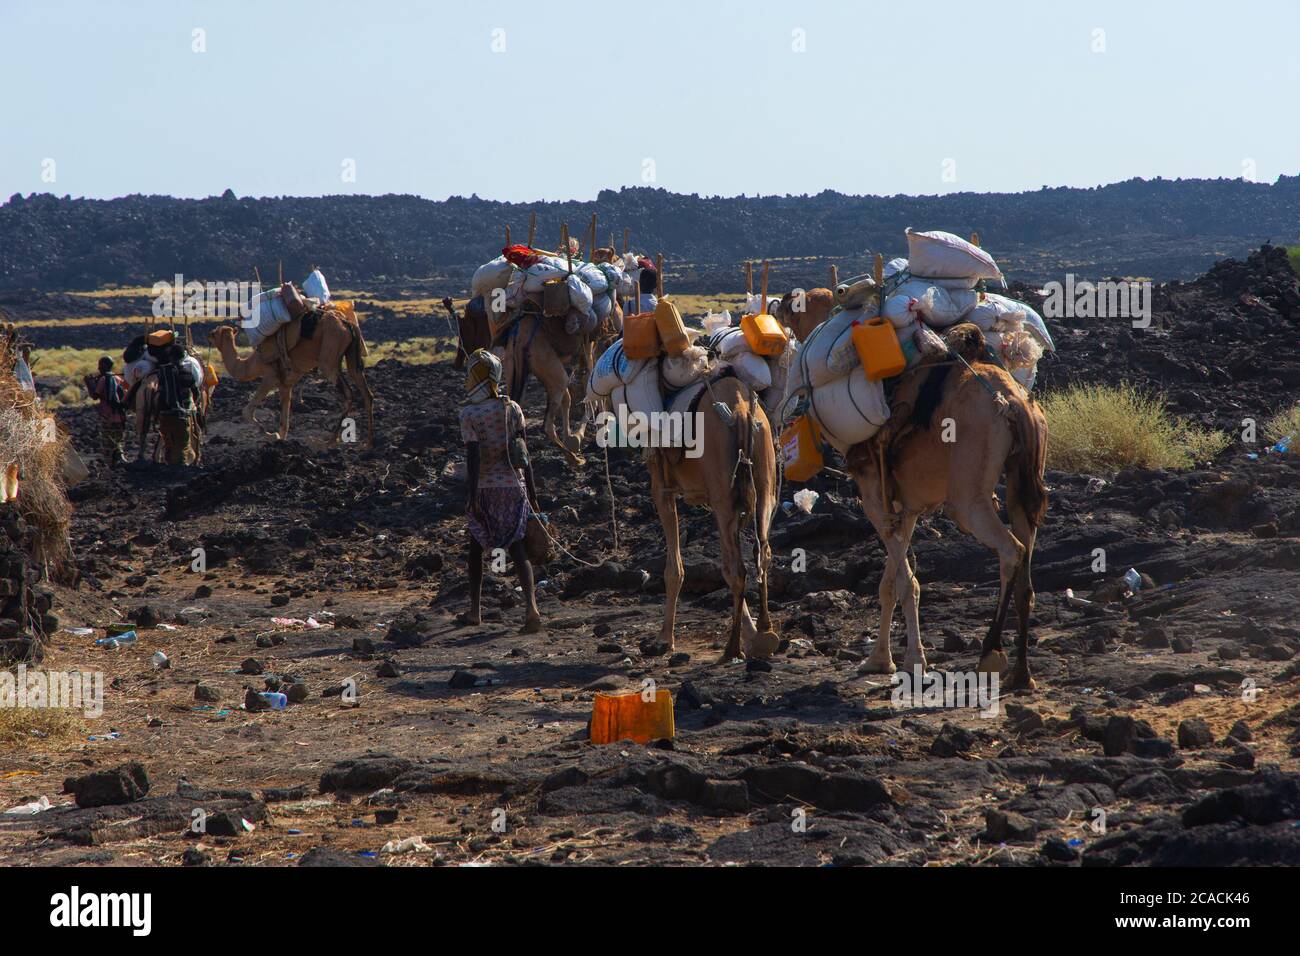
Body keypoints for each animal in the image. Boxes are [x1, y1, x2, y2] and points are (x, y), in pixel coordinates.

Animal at [205, 310, 374, 452]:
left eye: (214, 333)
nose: (208, 337)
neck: (252, 363)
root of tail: (347, 324)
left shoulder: (270, 376)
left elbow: (247, 411)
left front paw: (270, 435)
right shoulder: (286, 383)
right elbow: (284, 421)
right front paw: (281, 440)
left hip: (329, 357)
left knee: (348, 394)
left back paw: (328, 442)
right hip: (351, 356)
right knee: (367, 393)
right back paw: (367, 444)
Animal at [842, 325, 1045, 691]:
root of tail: (1013, 403)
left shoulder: (874, 495)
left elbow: (905, 581)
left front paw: (913, 661)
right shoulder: (906, 505)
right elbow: (890, 582)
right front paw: (878, 660)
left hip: (968, 497)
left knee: (1012, 550)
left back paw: (991, 651)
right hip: (1021, 483)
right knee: (1026, 559)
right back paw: (1021, 674)